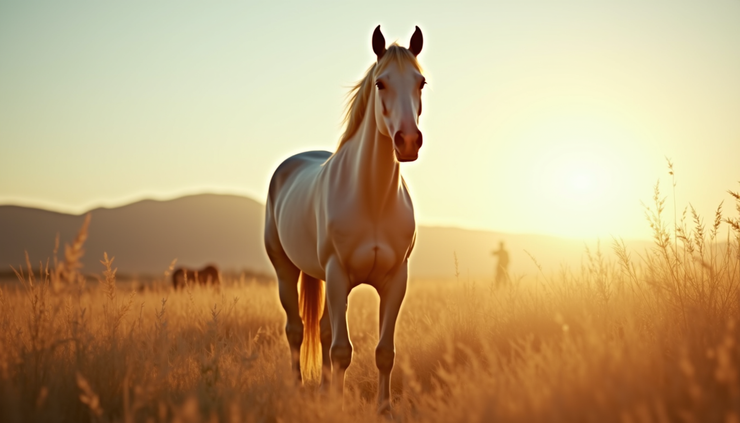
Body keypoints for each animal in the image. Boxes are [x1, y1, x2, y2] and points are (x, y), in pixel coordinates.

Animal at [264, 25, 426, 414]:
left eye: (421, 82)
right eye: (381, 83)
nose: (408, 142)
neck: (373, 200)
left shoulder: (396, 280)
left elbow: (384, 352)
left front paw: (383, 409)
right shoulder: (338, 274)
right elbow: (341, 350)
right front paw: (337, 405)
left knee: (321, 329)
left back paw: (322, 390)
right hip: (286, 270)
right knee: (296, 329)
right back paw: (298, 389)